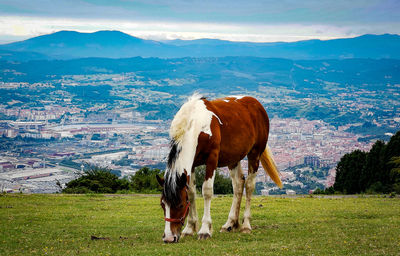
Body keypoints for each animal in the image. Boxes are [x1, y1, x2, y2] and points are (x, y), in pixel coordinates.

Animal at [155, 95, 282, 243]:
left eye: (180, 205)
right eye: (162, 204)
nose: (169, 238)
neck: (196, 124)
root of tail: (256, 103)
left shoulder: (212, 159)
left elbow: (207, 191)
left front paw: (205, 230)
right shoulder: (192, 164)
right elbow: (191, 192)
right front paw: (189, 228)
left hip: (255, 153)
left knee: (249, 185)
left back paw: (245, 225)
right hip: (233, 158)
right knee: (239, 184)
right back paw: (230, 223)